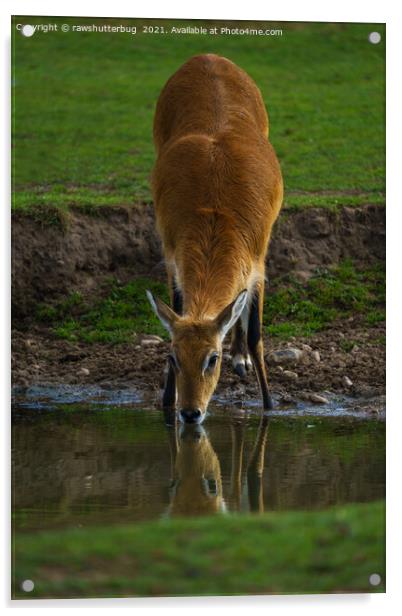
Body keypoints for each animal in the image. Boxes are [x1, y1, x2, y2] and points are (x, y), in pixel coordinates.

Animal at [147, 54, 282, 424]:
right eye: (173, 357)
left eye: (212, 358)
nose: (191, 412)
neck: (214, 216)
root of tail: (208, 56)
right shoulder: (173, 259)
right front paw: (166, 401)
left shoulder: (258, 262)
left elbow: (256, 334)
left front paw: (270, 404)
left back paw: (241, 359)